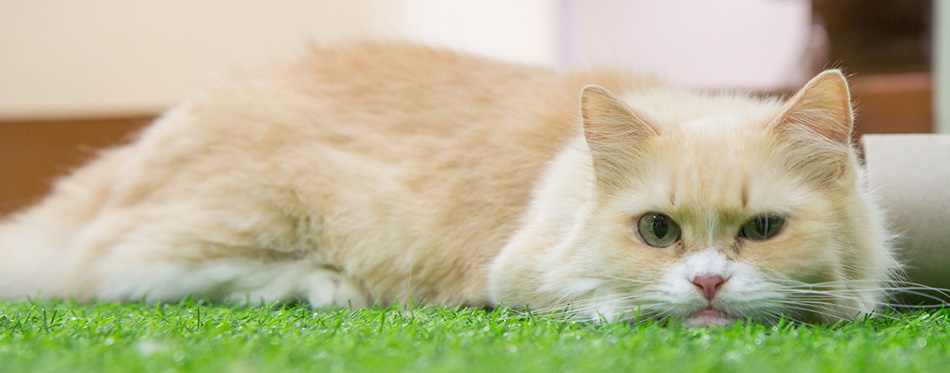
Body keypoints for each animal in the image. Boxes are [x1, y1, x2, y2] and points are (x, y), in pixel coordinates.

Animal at [0, 42, 900, 326]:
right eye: (656, 230)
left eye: (762, 231)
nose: (710, 282)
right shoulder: (523, 265)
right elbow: (594, 298)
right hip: (268, 215)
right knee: (119, 274)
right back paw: (327, 288)